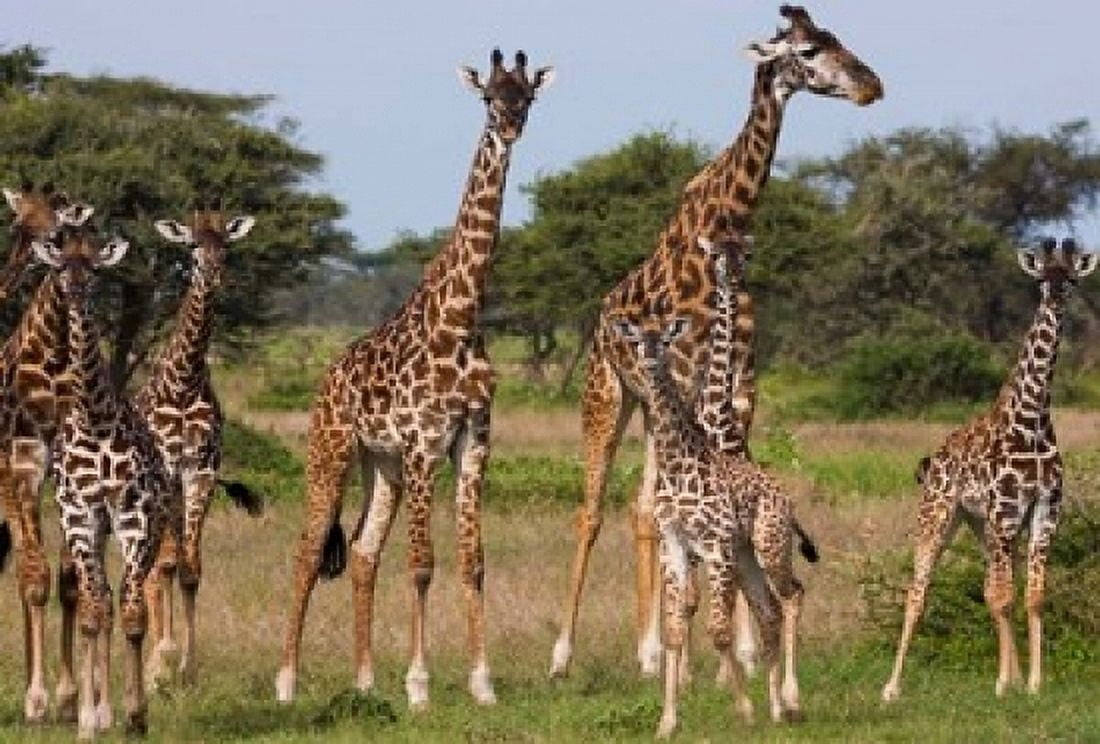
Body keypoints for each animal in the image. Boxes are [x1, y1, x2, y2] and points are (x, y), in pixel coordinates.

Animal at [30, 221, 177, 739]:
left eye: (93, 268)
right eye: (60, 266)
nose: (75, 292)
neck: (95, 417)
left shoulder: (136, 518)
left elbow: (133, 614)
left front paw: (136, 715)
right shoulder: (80, 516)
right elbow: (95, 612)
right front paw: (88, 721)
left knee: (121, 604)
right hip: (96, 528)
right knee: (101, 605)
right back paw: (97, 711)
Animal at [275, 48, 554, 709]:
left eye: (527, 95)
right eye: (489, 97)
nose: (510, 128)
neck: (462, 317)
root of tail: (326, 379)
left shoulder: (472, 442)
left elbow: (473, 561)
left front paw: (482, 682)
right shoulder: (426, 443)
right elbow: (423, 563)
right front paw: (420, 685)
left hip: (383, 467)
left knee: (362, 552)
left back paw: (364, 680)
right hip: (331, 450)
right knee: (307, 552)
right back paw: (287, 681)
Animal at [551, 3, 883, 680]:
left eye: (836, 36)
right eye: (806, 51)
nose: (870, 86)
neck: (727, 217)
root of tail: (601, 314)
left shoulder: (740, 388)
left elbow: (732, 481)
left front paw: (747, 649)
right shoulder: (685, 383)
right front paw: (715, 648)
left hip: (653, 409)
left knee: (643, 510)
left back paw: (651, 649)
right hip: (609, 395)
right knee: (594, 511)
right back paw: (569, 654)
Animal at [882, 238, 1095, 702]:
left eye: (1071, 278)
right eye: (1041, 278)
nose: (1056, 298)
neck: (1032, 421)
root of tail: (933, 459)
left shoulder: (1044, 509)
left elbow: (1030, 595)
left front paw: (1031, 683)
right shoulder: (1005, 511)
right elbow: (1003, 597)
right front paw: (1004, 683)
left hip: (980, 524)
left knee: (987, 587)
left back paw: (1011, 676)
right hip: (940, 515)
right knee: (918, 592)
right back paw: (891, 688)